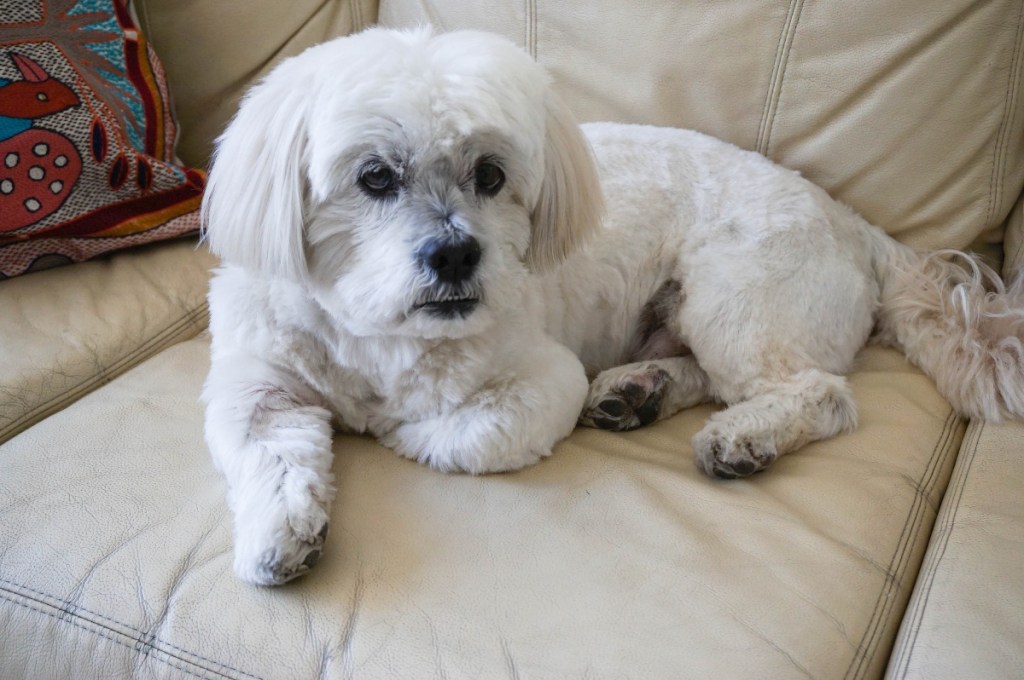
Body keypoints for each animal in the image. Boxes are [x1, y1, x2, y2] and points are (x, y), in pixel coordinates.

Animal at [199, 26, 1024, 585]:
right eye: (374, 177)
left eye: (491, 174)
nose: (457, 254)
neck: (375, 329)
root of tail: (854, 221)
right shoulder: (255, 385)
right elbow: (269, 452)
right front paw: (279, 537)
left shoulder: (540, 380)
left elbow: (459, 435)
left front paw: (396, 429)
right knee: (711, 376)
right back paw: (637, 391)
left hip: (735, 296)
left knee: (816, 391)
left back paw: (741, 436)